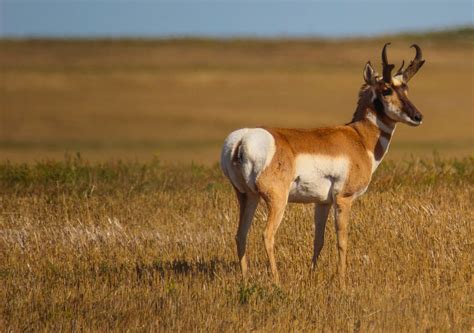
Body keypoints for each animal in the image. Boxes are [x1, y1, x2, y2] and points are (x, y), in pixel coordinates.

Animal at [221, 42, 426, 284]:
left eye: (406, 89)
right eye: (386, 90)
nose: (418, 116)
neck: (359, 138)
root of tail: (242, 139)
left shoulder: (322, 203)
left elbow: (318, 241)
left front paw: (312, 276)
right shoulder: (343, 199)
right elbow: (342, 241)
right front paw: (343, 282)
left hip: (247, 197)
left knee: (240, 234)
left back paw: (245, 279)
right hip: (277, 200)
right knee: (267, 235)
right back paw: (277, 281)